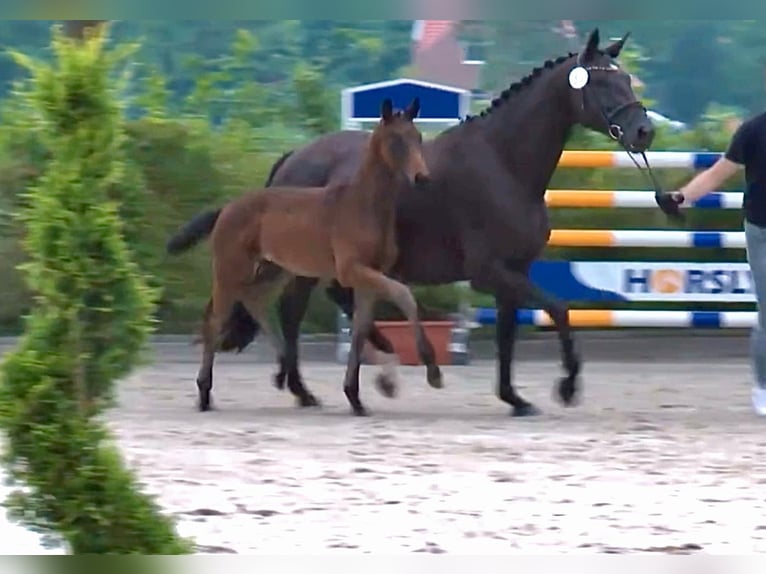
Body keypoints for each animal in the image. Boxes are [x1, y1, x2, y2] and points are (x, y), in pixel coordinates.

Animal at [168, 97, 444, 416]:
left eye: (418, 137)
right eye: (396, 140)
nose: (422, 177)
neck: (362, 205)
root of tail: (227, 208)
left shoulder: (369, 276)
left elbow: (361, 329)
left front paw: (356, 397)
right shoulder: (352, 270)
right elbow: (403, 295)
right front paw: (432, 370)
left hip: (271, 269)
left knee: (256, 302)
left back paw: (286, 373)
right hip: (230, 269)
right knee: (216, 321)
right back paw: (205, 393)